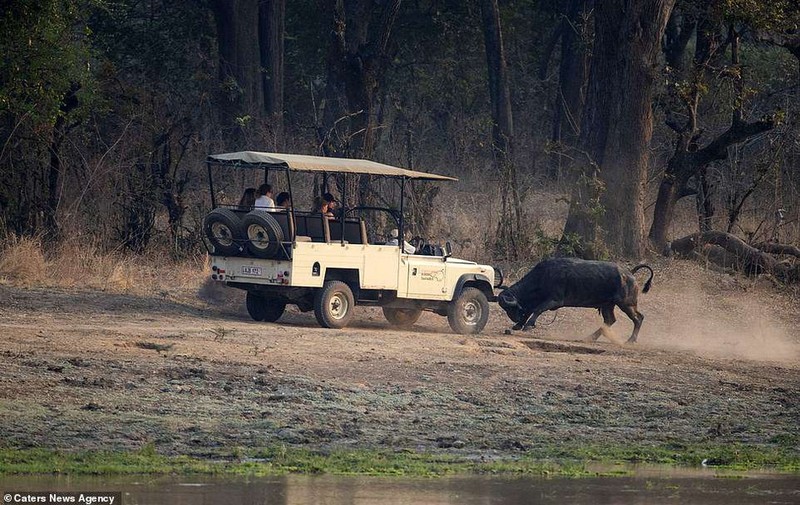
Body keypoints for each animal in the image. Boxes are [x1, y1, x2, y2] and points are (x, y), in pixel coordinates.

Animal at [500, 256, 656, 342]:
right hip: (607, 305)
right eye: (506, 307)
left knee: (638, 318)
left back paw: (631, 340)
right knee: (610, 320)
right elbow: (530, 310)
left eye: (510, 307)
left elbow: (537, 310)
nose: (514, 318)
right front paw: (518, 325)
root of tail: (629, 273)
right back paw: (590, 338)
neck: (543, 276)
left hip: (626, 304)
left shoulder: (555, 300)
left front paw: (528, 325)